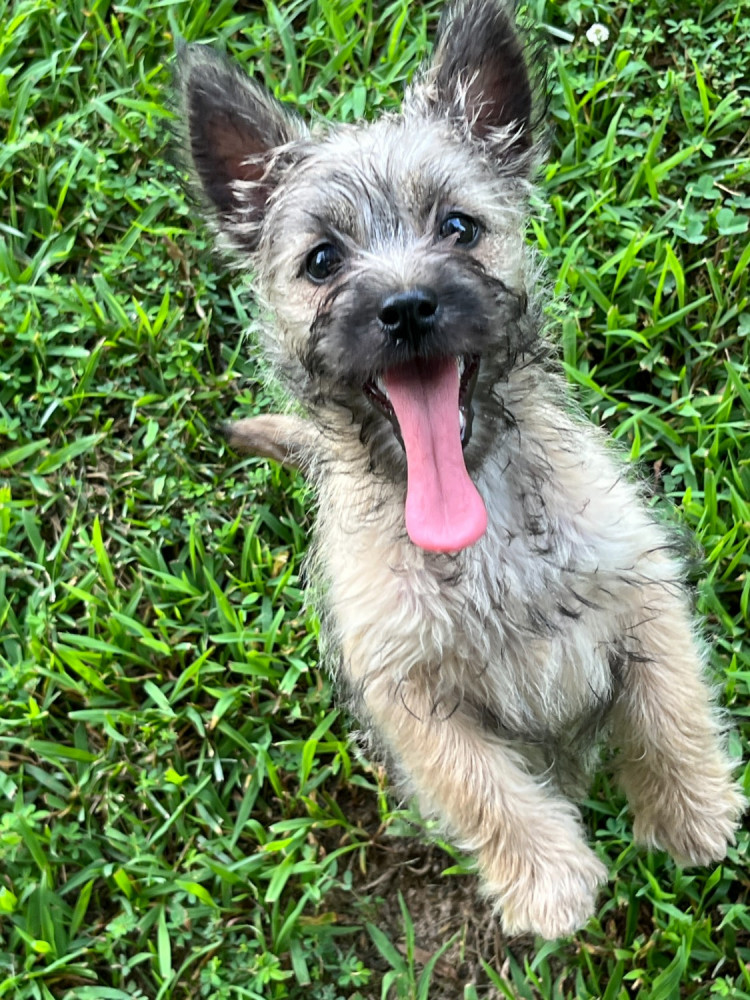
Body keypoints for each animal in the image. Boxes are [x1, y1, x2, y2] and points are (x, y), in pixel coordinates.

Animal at [176, 0, 744, 939]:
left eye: (458, 228)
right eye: (323, 260)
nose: (406, 306)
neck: (483, 525)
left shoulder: (642, 592)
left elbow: (671, 707)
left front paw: (690, 809)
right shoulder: (411, 697)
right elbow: (485, 789)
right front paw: (550, 882)